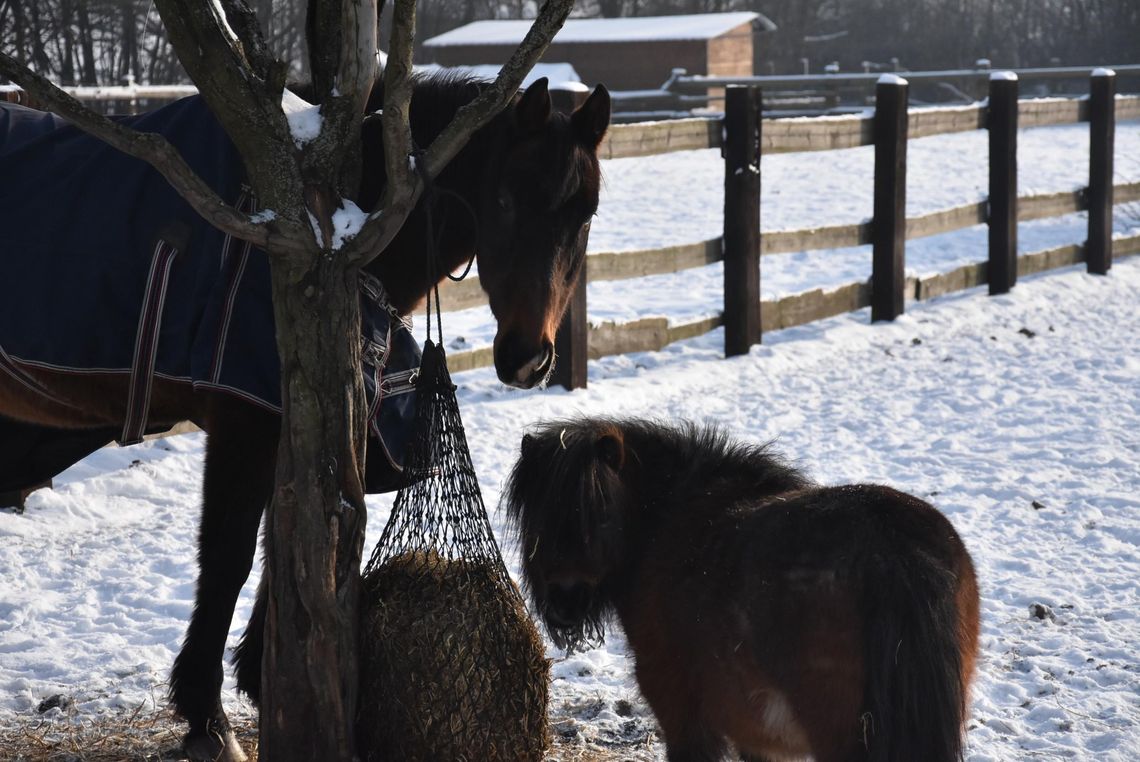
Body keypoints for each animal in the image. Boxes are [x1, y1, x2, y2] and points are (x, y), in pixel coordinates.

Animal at [0, 73, 611, 762]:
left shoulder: (295, 418)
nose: (528, 357)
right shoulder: (245, 424)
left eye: (584, 215)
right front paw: (207, 717)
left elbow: (295, 541)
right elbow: (232, 557)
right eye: (505, 199)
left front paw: (262, 679)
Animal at [508, 419, 980, 762]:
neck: (667, 526)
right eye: (540, 518)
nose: (564, 601)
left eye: (598, 514)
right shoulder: (755, 735)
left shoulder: (686, 720)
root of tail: (889, 545)